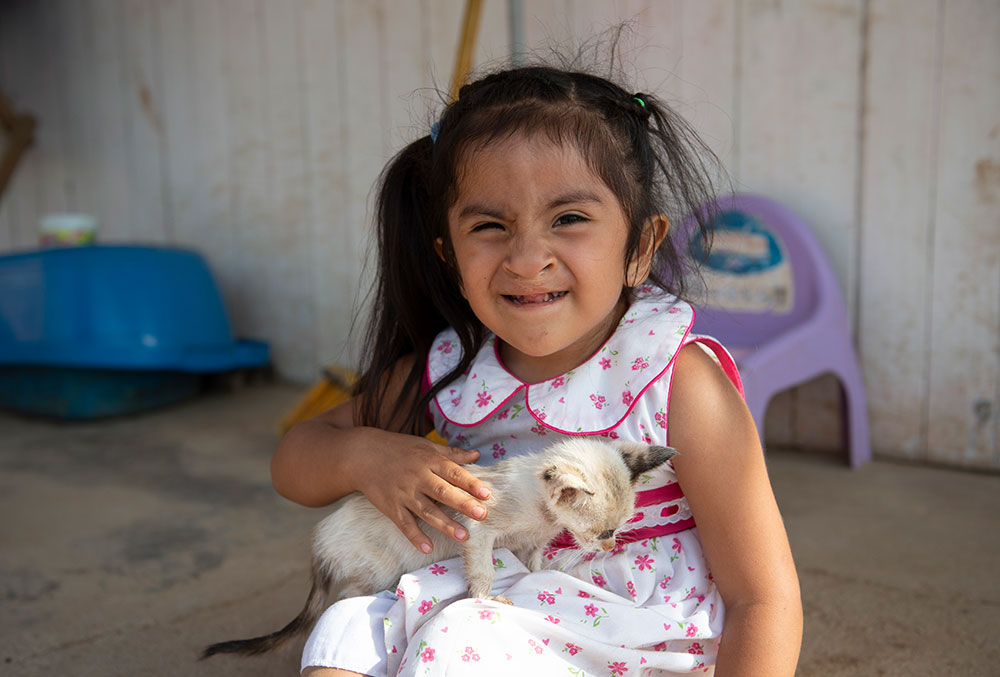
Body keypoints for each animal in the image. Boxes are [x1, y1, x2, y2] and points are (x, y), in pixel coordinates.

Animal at [202, 436, 676, 656]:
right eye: (601, 532)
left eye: (615, 530)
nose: (607, 547)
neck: (540, 512)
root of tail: (319, 540)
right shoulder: (478, 529)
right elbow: (482, 568)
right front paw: (487, 597)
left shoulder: (528, 543)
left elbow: (533, 562)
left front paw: (538, 574)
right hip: (375, 571)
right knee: (347, 597)